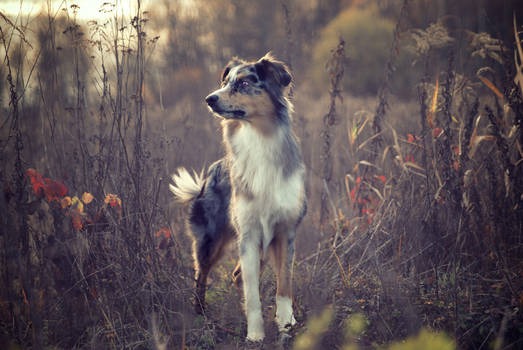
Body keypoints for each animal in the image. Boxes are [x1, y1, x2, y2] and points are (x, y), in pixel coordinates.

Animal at [170, 52, 304, 342]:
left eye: (243, 83)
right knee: (202, 275)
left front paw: (286, 325)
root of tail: (208, 174)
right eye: (226, 82)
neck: (259, 138)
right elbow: (252, 294)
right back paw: (201, 314)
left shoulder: (285, 233)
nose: (209, 98)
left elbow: (284, 287)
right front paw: (255, 336)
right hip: (210, 240)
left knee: (235, 276)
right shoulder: (249, 234)